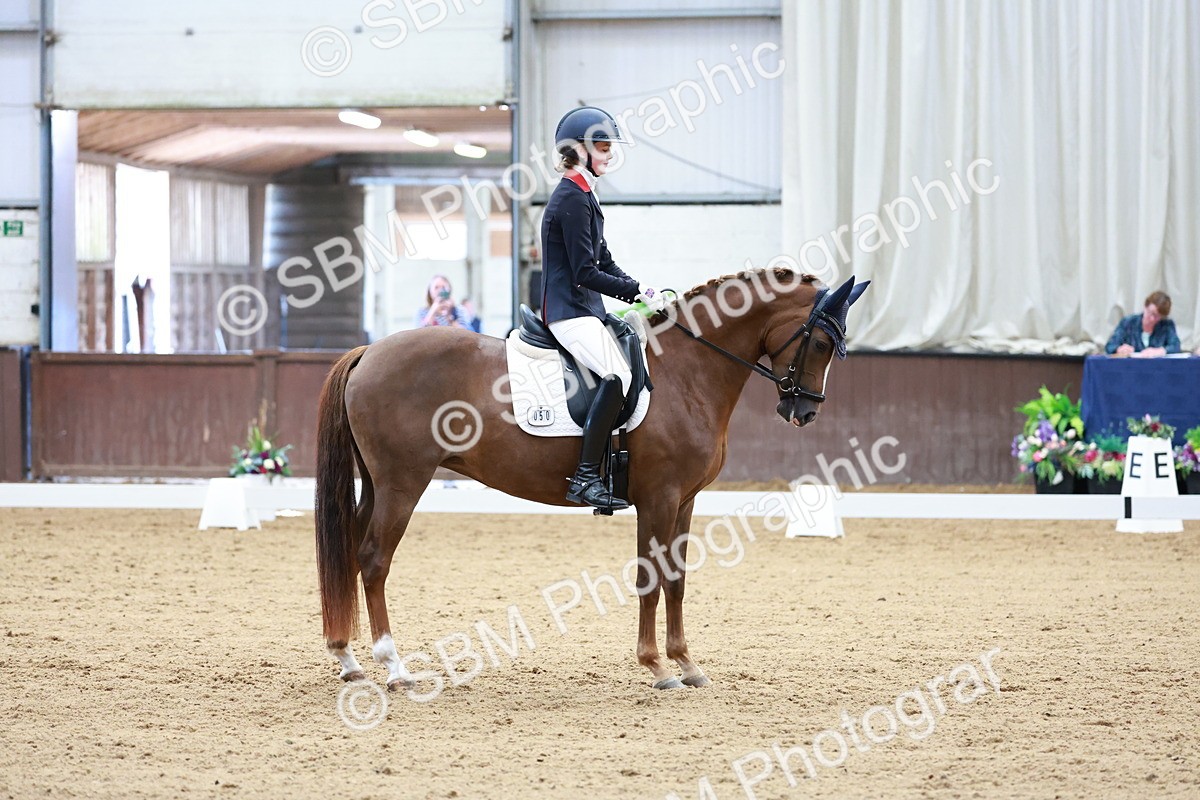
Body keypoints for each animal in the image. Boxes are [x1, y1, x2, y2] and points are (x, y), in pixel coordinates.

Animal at [314, 268, 870, 690]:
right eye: (823, 341)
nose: (803, 412)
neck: (688, 370)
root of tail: (369, 351)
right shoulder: (658, 497)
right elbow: (649, 578)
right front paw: (657, 666)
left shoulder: (685, 500)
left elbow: (676, 580)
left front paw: (687, 664)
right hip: (403, 483)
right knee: (374, 560)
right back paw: (394, 667)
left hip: (377, 484)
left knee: (350, 551)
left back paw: (348, 660)